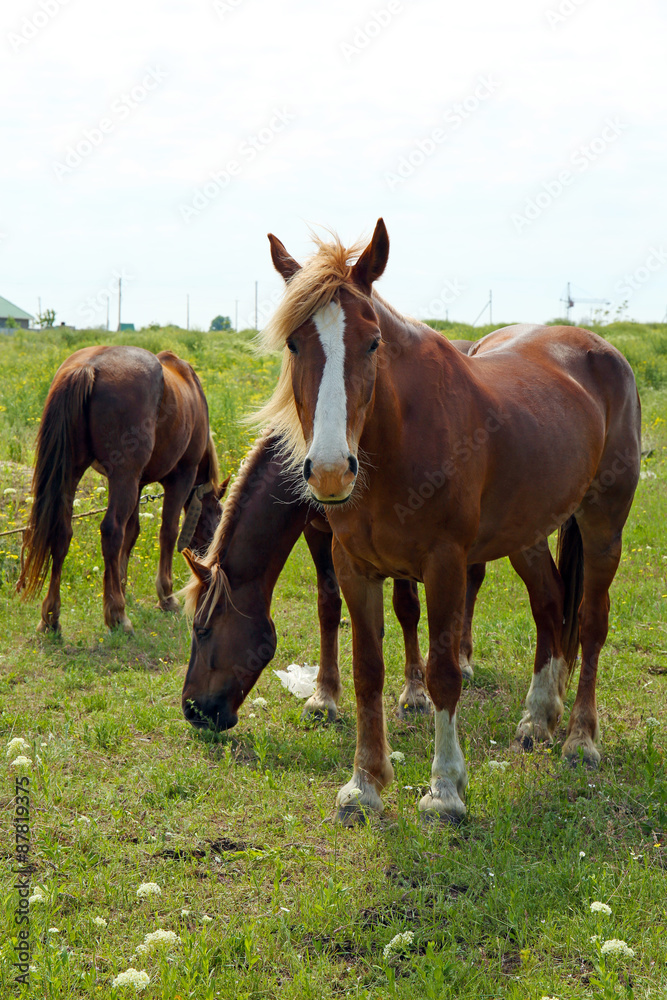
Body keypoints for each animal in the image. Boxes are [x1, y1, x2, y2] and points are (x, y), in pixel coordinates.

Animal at [16, 346, 222, 632]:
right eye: (218, 518)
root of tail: (89, 366)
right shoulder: (181, 476)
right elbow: (167, 532)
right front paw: (165, 595)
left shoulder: (138, 483)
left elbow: (132, 534)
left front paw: (121, 587)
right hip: (122, 477)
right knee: (112, 530)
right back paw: (117, 614)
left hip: (74, 473)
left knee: (63, 532)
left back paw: (51, 616)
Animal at [194, 219, 640, 820]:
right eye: (293, 342)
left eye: (373, 341)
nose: (330, 471)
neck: (399, 440)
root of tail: (600, 350)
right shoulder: (353, 564)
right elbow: (366, 668)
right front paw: (364, 783)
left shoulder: (444, 565)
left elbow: (444, 671)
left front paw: (445, 789)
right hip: (525, 532)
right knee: (549, 605)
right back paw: (536, 718)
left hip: (603, 525)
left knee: (590, 623)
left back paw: (579, 739)